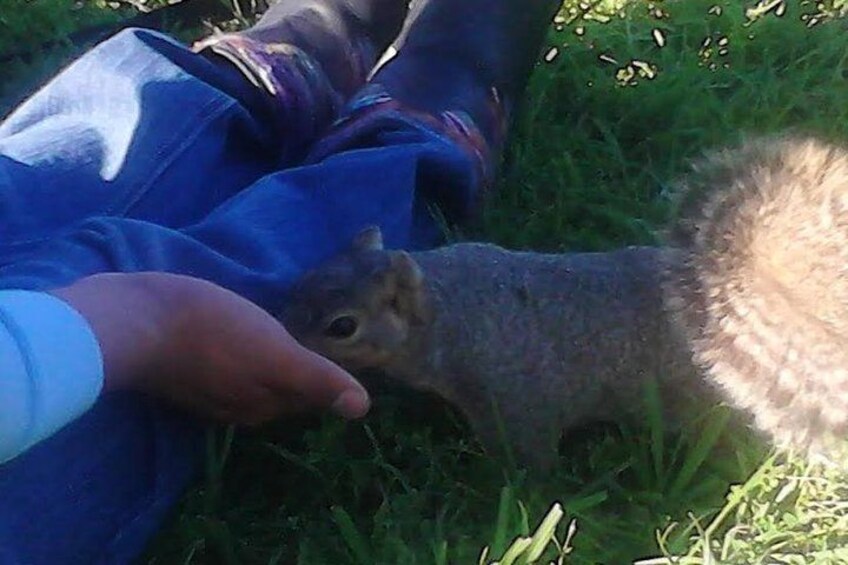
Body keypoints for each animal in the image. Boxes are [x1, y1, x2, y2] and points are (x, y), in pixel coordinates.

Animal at [279, 135, 848, 470]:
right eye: (303, 281)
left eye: (342, 326)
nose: (286, 335)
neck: (447, 311)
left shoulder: (514, 400)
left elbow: (529, 458)